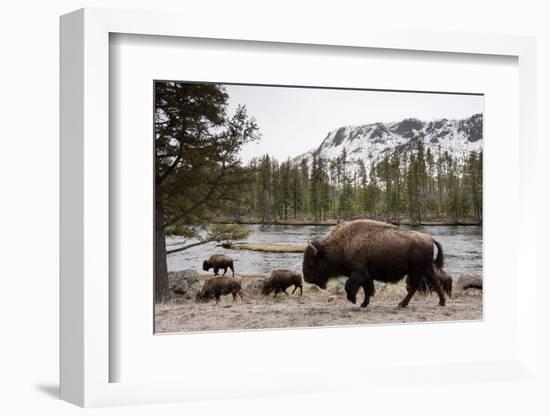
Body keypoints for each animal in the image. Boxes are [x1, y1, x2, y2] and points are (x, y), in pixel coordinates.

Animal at [304, 219, 446, 308]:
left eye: (311, 262)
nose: (306, 278)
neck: (342, 244)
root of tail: (429, 238)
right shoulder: (367, 275)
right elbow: (367, 289)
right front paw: (363, 304)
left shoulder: (359, 272)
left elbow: (349, 286)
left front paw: (354, 300)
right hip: (425, 269)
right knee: (434, 283)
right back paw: (441, 302)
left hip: (417, 270)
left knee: (415, 287)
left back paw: (402, 304)